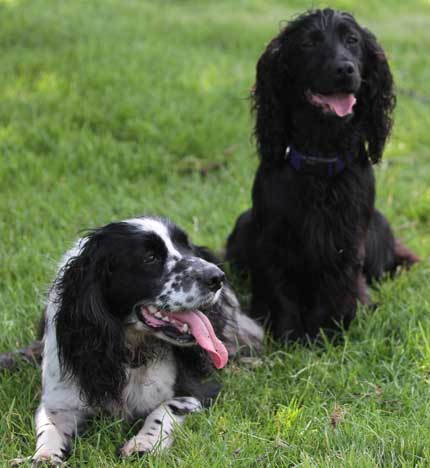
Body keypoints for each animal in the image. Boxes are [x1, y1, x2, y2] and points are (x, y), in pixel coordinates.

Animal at [227, 9, 418, 342]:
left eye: (353, 40)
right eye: (308, 43)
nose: (345, 69)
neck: (321, 157)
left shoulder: (345, 239)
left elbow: (337, 287)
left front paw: (327, 335)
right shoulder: (274, 238)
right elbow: (280, 290)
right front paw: (287, 336)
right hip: (244, 223)